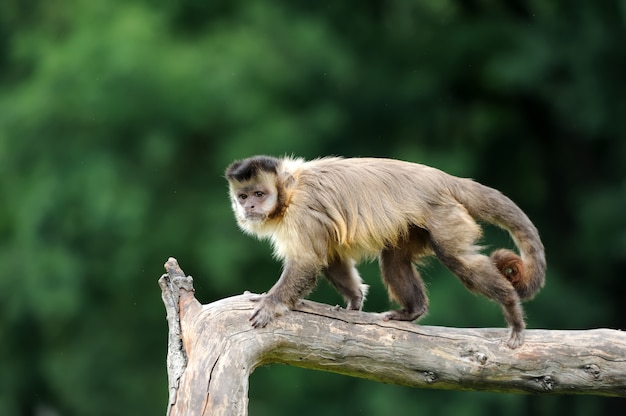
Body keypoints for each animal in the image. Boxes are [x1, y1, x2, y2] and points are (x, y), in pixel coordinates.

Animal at [225, 155, 544, 348]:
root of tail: (443, 179)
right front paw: (354, 302)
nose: (248, 206)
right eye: (243, 196)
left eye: (260, 194)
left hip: (444, 214)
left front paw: (270, 303)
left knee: (458, 259)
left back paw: (511, 308)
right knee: (394, 260)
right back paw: (413, 312)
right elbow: (330, 258)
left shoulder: (302, 212)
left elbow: (307, 261)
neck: (290, 191)